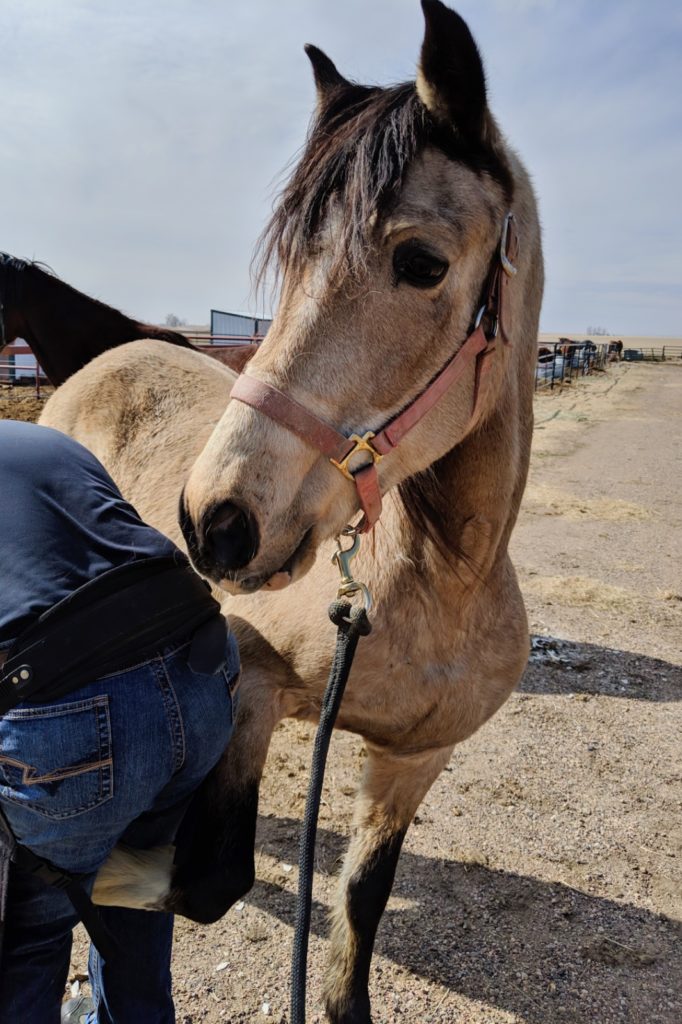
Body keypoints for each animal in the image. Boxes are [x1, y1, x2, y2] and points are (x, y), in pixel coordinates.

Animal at [41, 4, 540, 1019]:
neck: (440, 588)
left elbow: (358, 907)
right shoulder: (253, 687)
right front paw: (104, 869)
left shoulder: (412, 762)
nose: (214, 522)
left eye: (421, 262)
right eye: (291, 263)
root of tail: (101, 360)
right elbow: (208, 877)